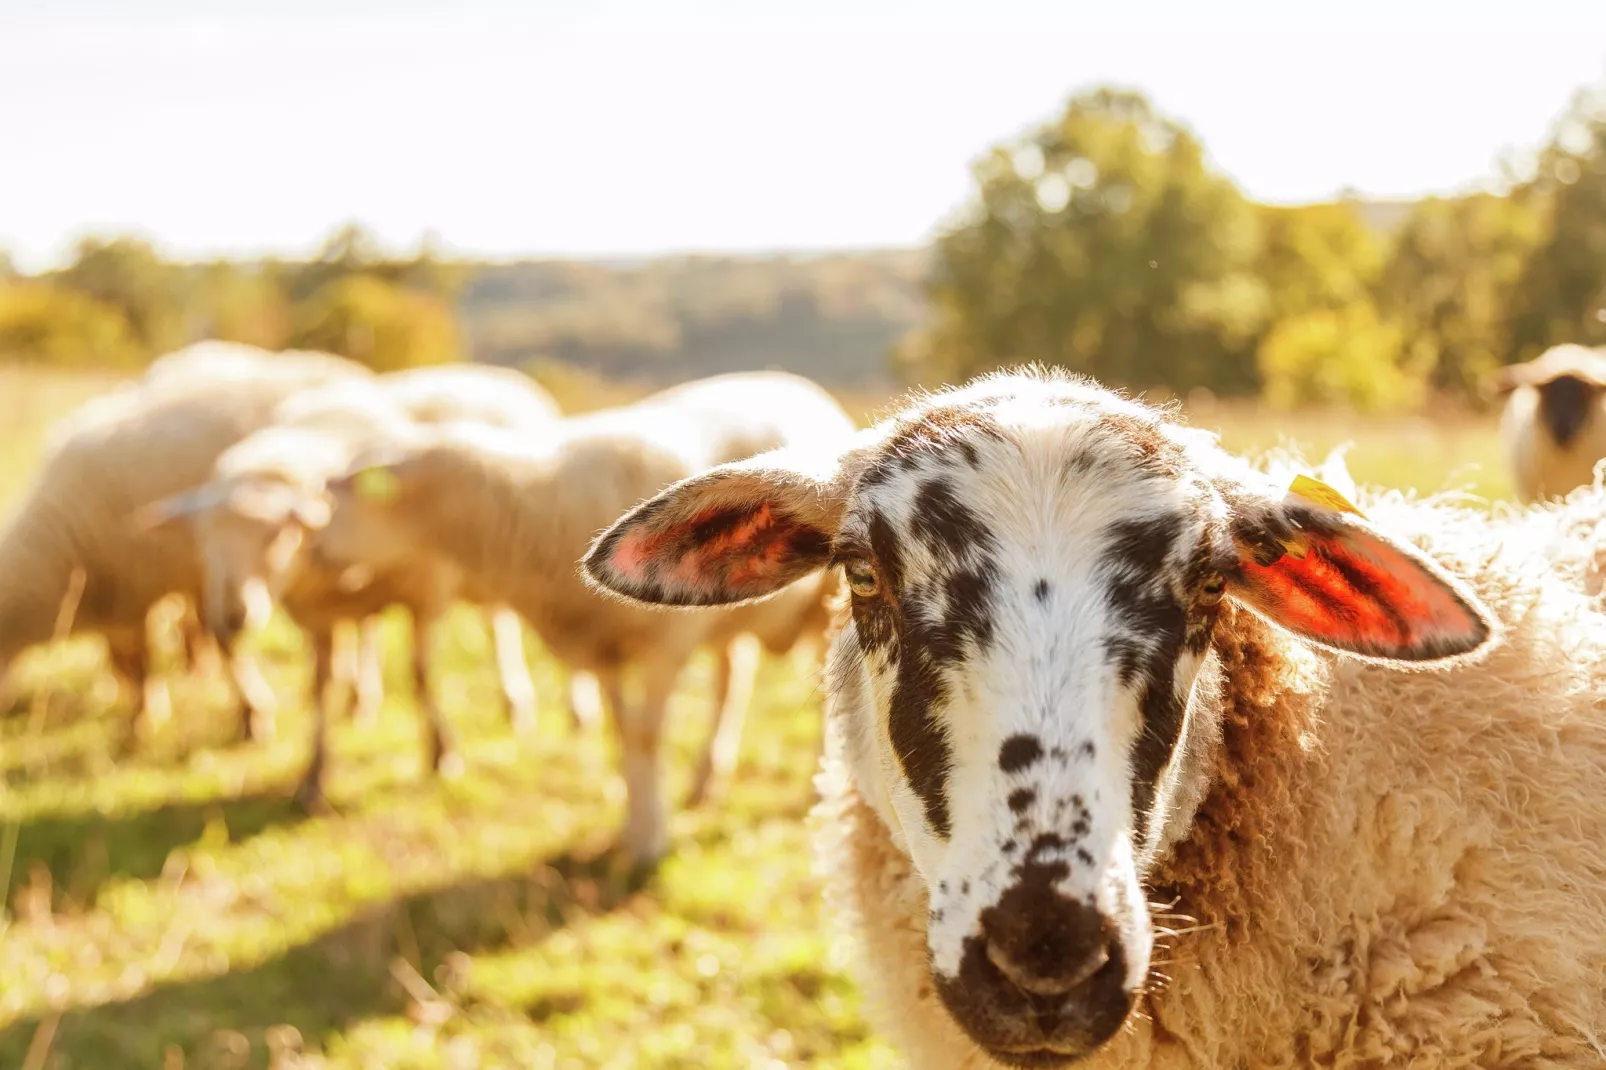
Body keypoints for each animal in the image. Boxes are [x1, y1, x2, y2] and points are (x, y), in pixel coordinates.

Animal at [317, 371, 860, 854]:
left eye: (355, 493)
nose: (317, 549)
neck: (534, 505)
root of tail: (798, 384)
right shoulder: (602, 647)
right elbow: (621, 733)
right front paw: (632, 824)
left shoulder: (665, 643)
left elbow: (645, 736)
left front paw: (649, 839)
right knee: (733, 681)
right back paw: (705, 780)